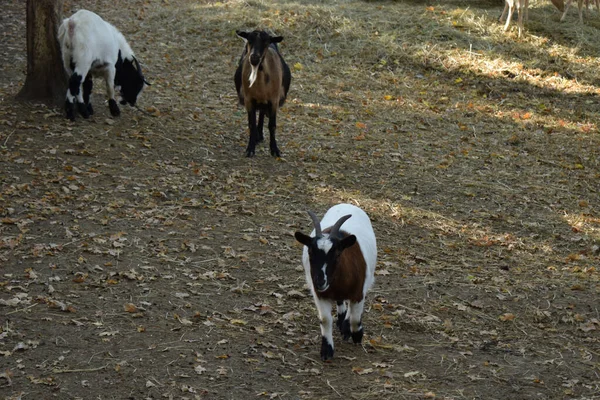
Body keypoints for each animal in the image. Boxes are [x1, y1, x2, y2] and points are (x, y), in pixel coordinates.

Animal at [294, 205, 378, 360]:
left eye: (337, 254)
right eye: (310, 252)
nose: (320, 281)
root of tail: (346, 204)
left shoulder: (359, 292)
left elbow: (355, 318)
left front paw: (357, 335)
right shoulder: (320, 295)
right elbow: (325, 320)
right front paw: (327, 350)